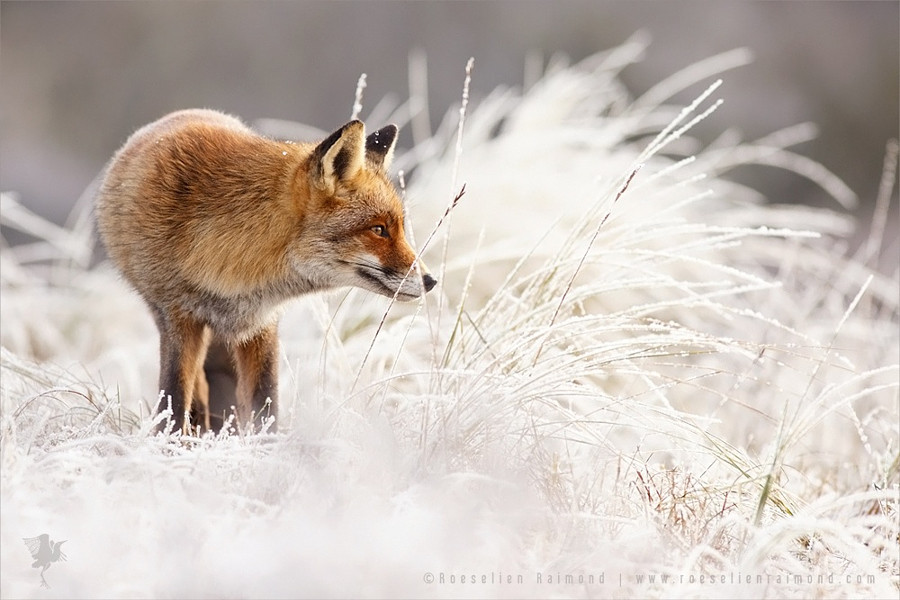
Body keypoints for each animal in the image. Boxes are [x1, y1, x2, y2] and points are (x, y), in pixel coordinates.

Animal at [96, 110, 434, 434]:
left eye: (399, 227)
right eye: (378, 229)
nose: (430, 281)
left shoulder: (261, 323)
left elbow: (265, 403)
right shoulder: (176, 318)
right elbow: (175, 399)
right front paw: (170, 444)